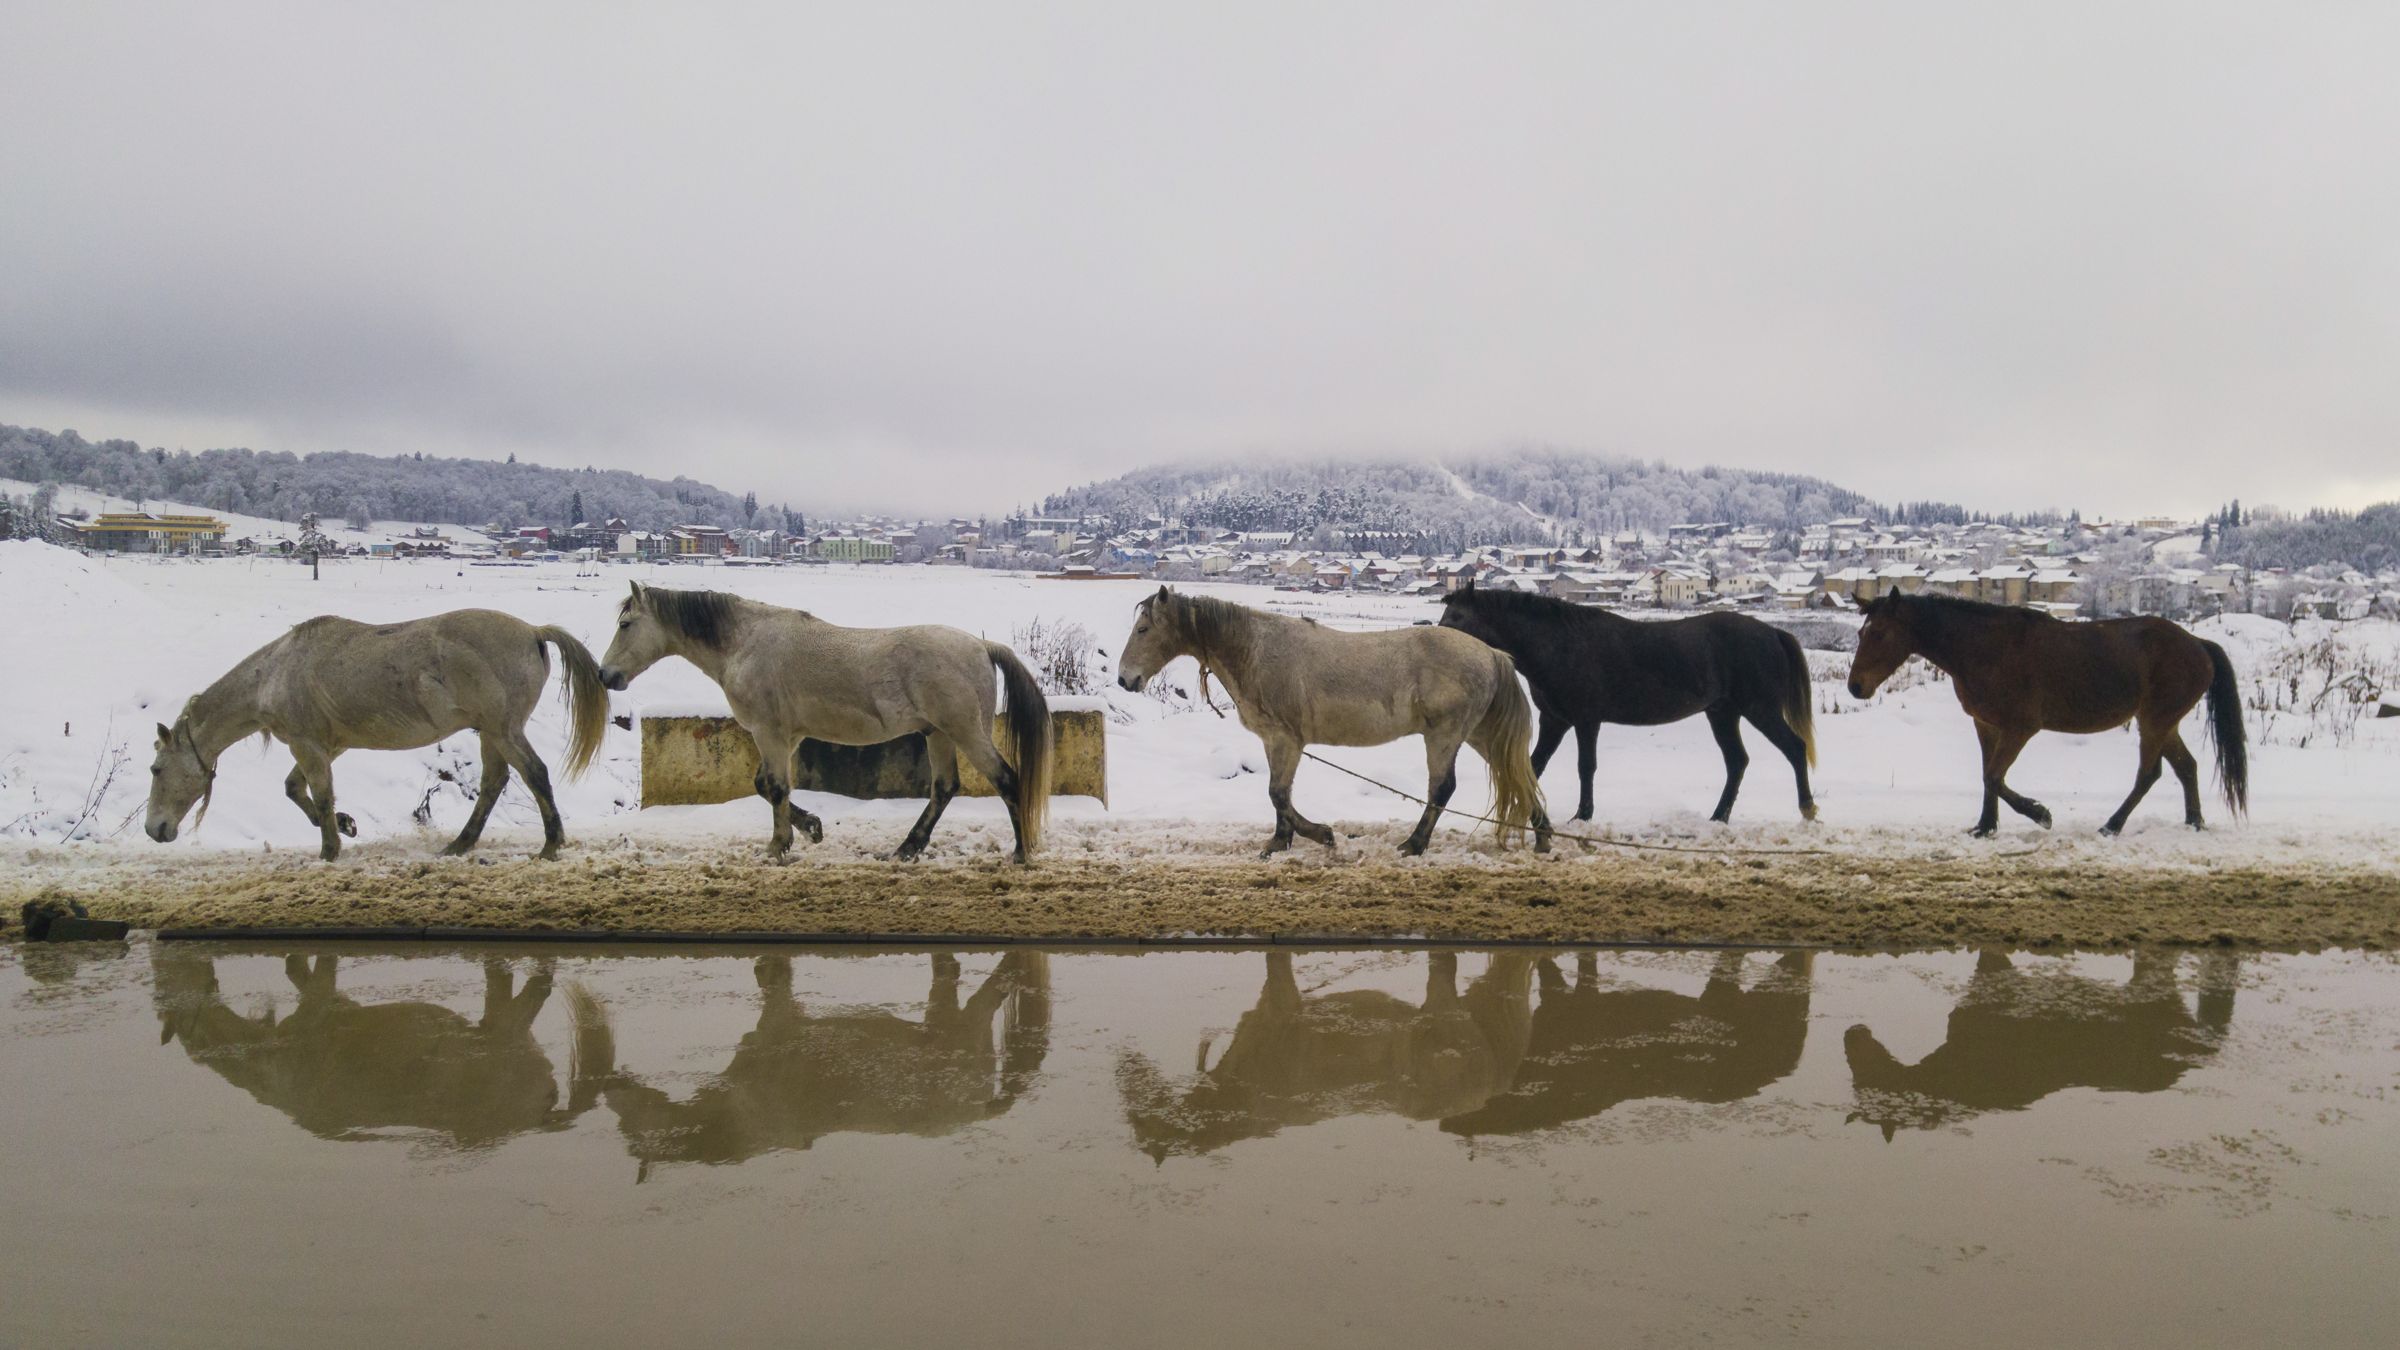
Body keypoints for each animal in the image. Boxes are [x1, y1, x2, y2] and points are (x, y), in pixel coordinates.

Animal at [145, 609, 608, 861]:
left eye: (155, 769)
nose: (155, 830)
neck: (277, 672)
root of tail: (534, 631)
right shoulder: (327, 745)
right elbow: (297, 790)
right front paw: (344, 825)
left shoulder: (307, 745)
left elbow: (318, 794)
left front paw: (329, 849)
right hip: (491, 734)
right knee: (495, 782)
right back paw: (460, 844)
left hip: (503, 730)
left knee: (534, 774)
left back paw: (550, 845)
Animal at [597, 582, 1052, 862]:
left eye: (625, 624)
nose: (605, 675)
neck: (746, 643)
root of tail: (982, 646)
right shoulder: (787, 737)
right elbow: (766, 786)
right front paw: (811, 828)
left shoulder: (769, 733)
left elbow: (775, 788)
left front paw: (778, 846)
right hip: (937, 734)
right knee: (944, 789)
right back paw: (907, 848)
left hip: (966, 733)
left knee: (1007, 780)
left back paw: (1020, 851)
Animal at [1113, 586, 1551, 857]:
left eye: (1143, 628)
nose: (1124, 679)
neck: (1256, 650)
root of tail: (1492, 654)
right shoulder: (1275, 742)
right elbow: (1281, 795)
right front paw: (1279, 842)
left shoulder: (1286, 741)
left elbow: (1278, 794)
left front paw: (1320, 834)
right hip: (1478, 734)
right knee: (1519, 774)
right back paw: (1544, 838)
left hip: (1444, 736)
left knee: (1442, 790)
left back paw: (1414, 844)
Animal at [1437, 585, 1818, 824]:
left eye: (1457, 617)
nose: (1439, 644)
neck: (1559, 645)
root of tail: (1773, 633)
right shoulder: (1555, 720)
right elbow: (1534, 764)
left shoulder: (1586, 720)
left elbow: (1585, 767)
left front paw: (1583, 815)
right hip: (1723, 714)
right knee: (1737, 761)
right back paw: (1719, 817)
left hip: (1760, 710)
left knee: (1794, 748)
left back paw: (1807, 809)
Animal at [1845, 590, 2248, 836]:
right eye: (1862, 632)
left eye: (1879, 634)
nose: (1856, 686)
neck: (1984, 649)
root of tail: (2199, 645)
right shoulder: (1985, 724)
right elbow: (1987, 776)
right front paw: (1985, 827)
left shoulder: (2021, 727)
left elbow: (1994, 776)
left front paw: (2040, 814)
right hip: (2164, 723)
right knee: (2186, 767)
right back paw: (2193, 822)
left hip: (2155, 721)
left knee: (2149, 774)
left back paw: (2112, 826)